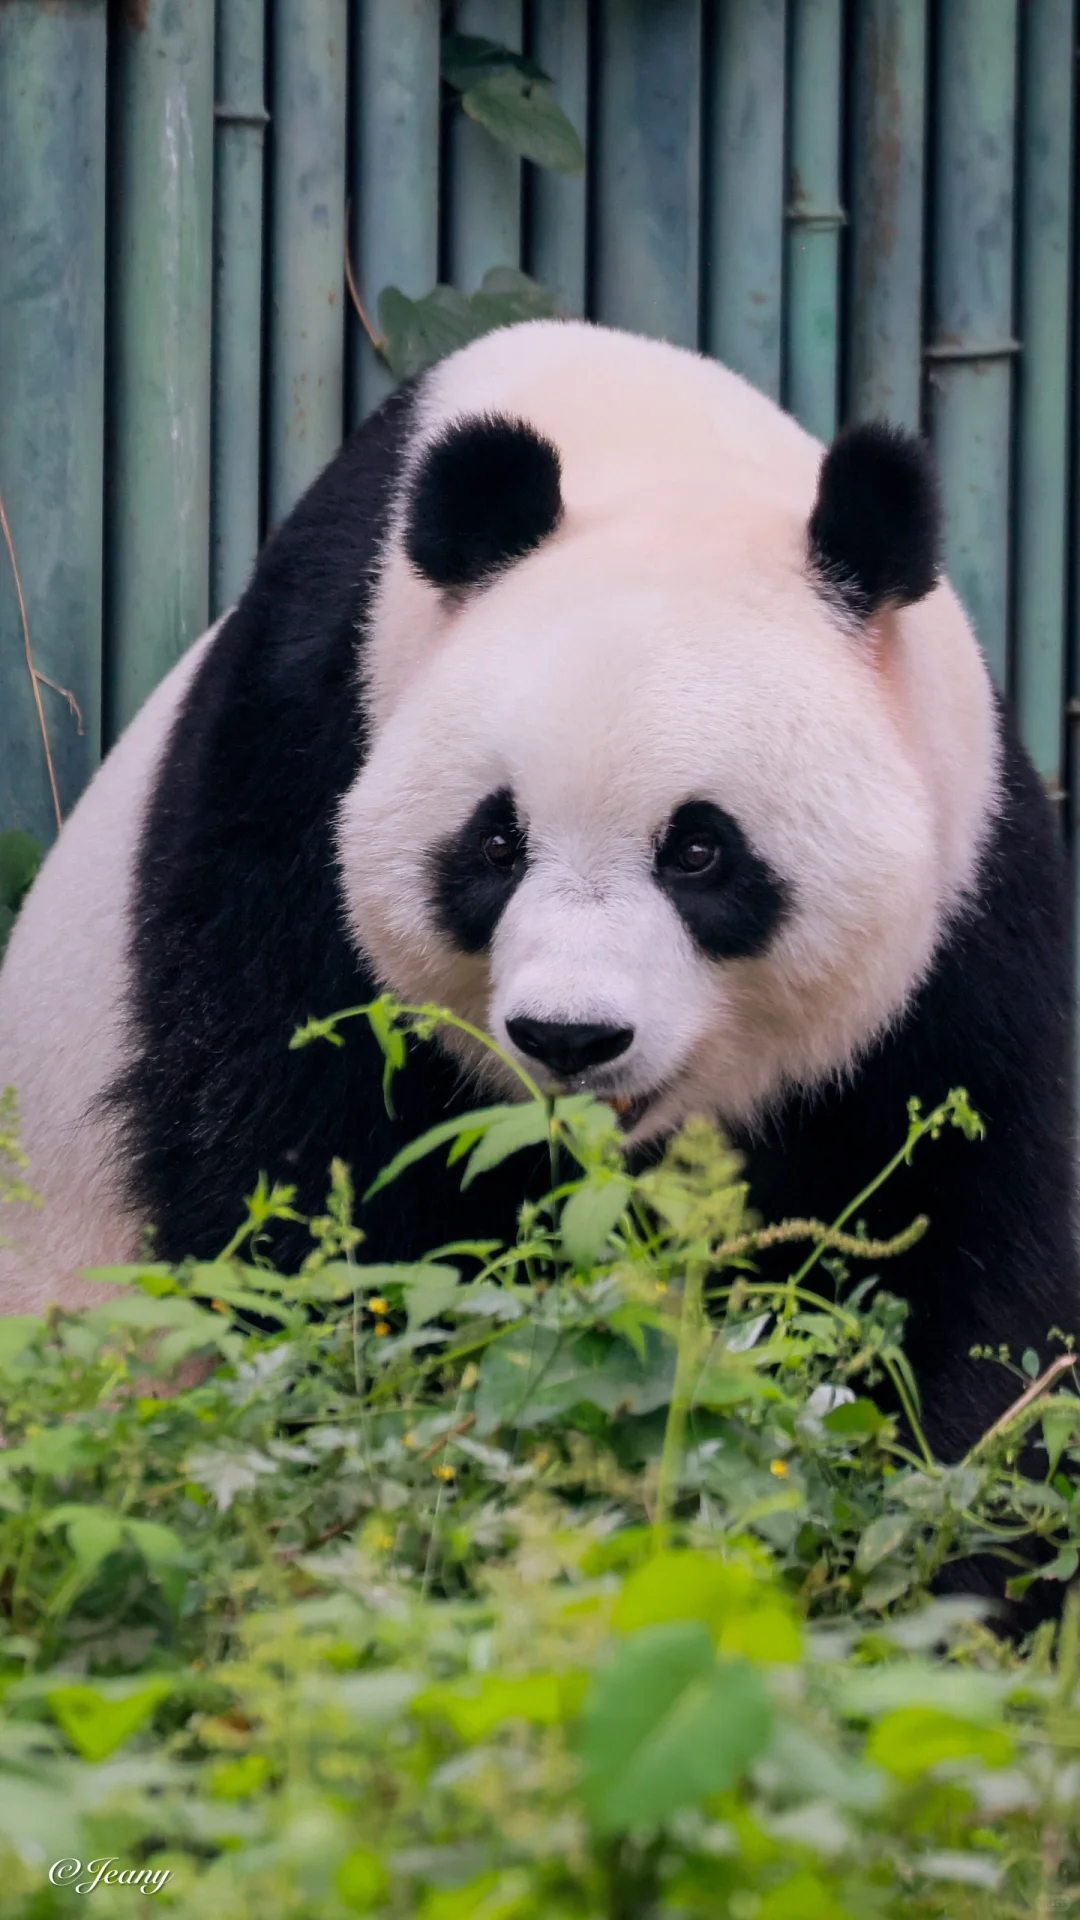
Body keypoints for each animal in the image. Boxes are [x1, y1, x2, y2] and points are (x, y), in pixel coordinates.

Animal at [0, 322, 1068, 1474]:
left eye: (700, 851)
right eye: (497, 844)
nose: (571, 1037)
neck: (649, 453)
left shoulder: (970, 881)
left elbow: (968, 1208)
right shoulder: (298, 760)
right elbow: (290, 1159)